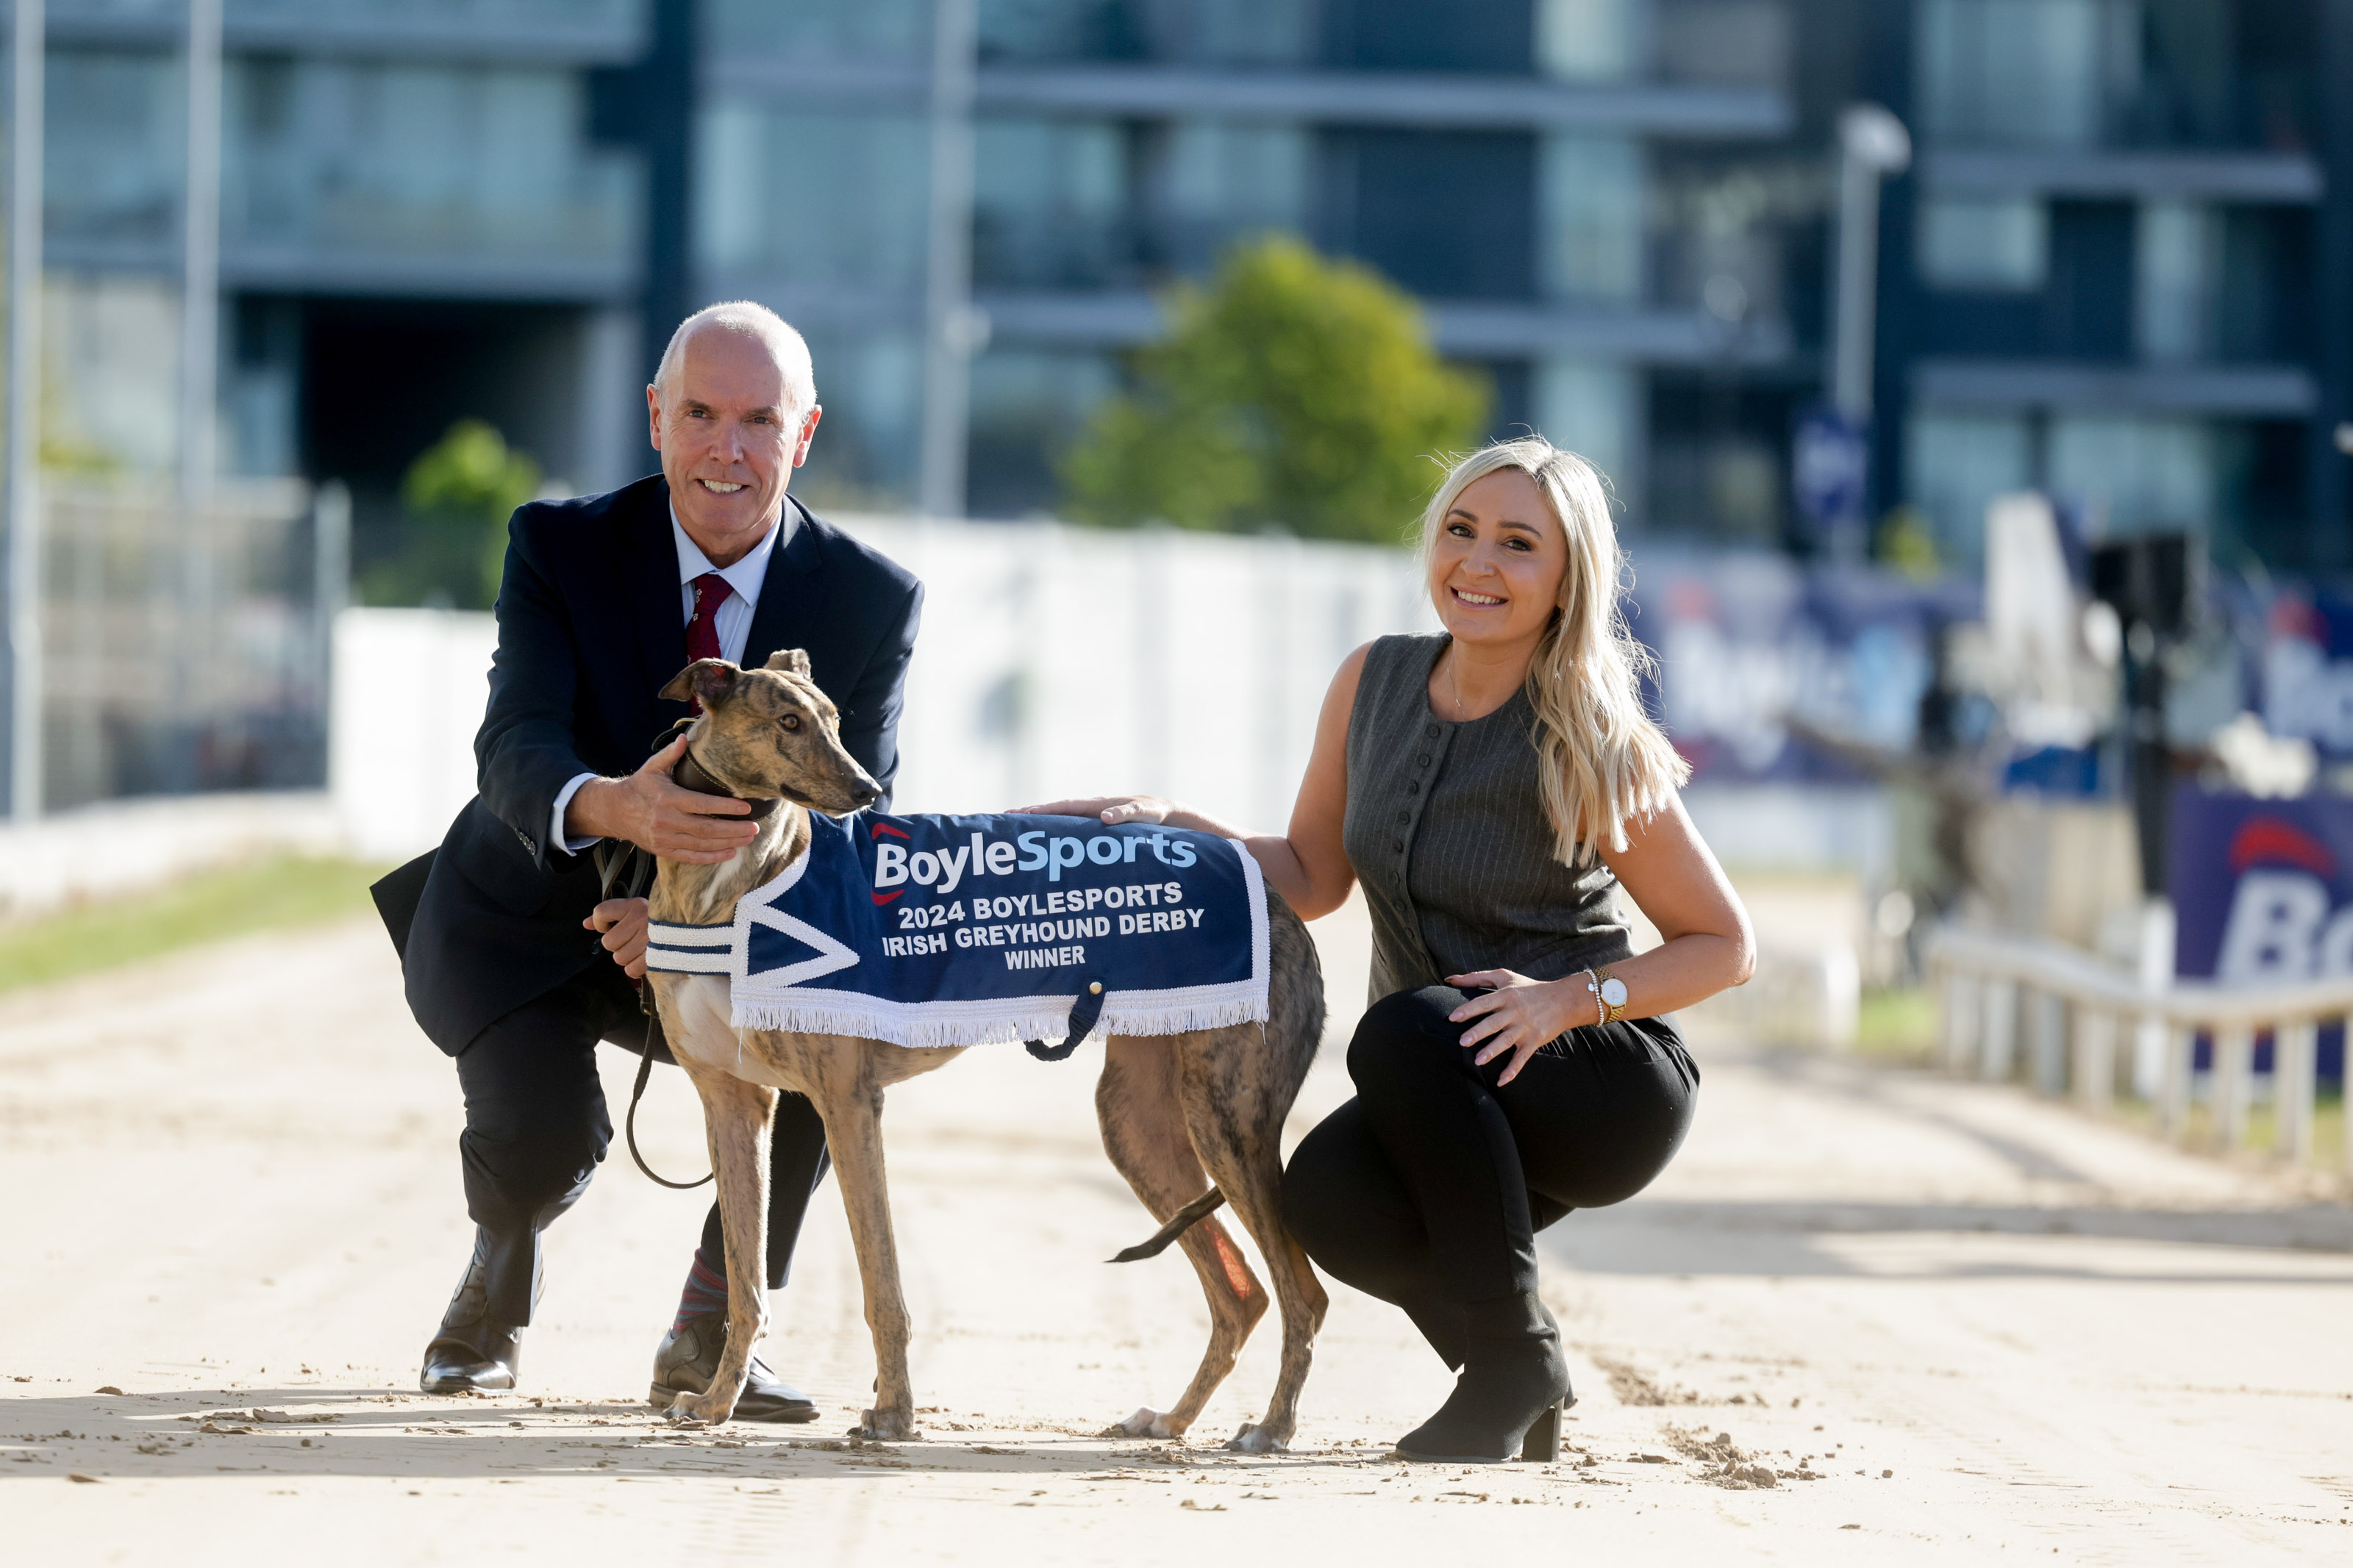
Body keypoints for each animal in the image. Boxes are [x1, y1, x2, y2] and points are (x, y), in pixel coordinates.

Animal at [640, 658, 1327, 1457]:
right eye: (788, 722)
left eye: (836, 718)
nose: (867, 791)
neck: (742, 883)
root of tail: (1277, 898)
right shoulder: (733, 1104)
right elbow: (747, 1280)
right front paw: (717, 1404)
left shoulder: (847, 1102)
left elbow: (882, 1287)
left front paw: (892, 1415)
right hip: (1141, 1126)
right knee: (1242, 1291)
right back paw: (1172, 1419)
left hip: (1226, 1119)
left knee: (1302, 1292)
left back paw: (1271, 1427)